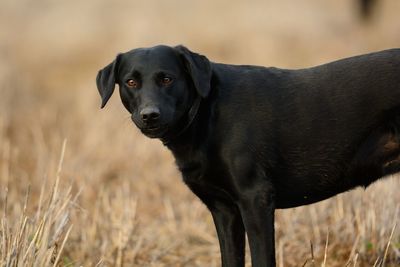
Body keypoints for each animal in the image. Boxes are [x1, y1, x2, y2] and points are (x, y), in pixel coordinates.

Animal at [97, 45, 400, 266]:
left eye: (167, 78)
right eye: (131, 82)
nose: (149, 115)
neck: (207, 114)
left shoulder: (255, 200)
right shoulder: (224, 210)